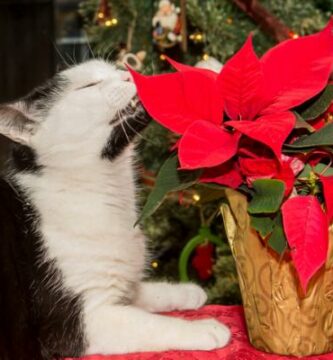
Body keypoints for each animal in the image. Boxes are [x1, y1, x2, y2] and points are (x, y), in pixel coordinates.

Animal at [0, 60, 230, 358]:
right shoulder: (80, 322)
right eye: (89, 85)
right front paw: (204, 328)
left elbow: (139, 293)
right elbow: (150, 324)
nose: (126, 73)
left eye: (112, 69)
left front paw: (186, 292)